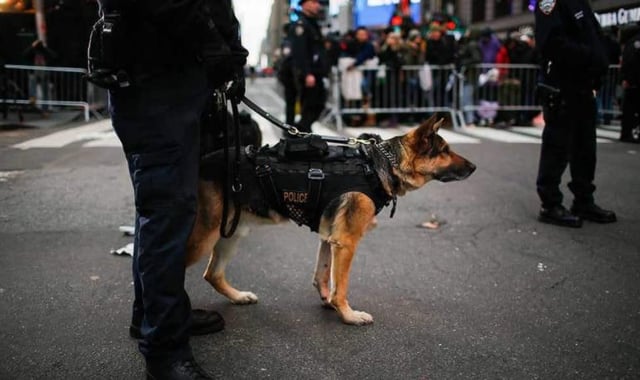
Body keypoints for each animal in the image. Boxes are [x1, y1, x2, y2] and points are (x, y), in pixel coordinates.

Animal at [185, 114, 476, 326]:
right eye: (445, 150)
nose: (474, 167)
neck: (381, 164)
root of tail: (200, 162)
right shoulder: (346, 242)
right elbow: (342, 285)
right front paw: (348, 315)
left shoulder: (331, 238)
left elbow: (323, 274)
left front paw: (328, 301)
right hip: (204, 236)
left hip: (231, 232)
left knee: (212, 274)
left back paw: (238, 296)